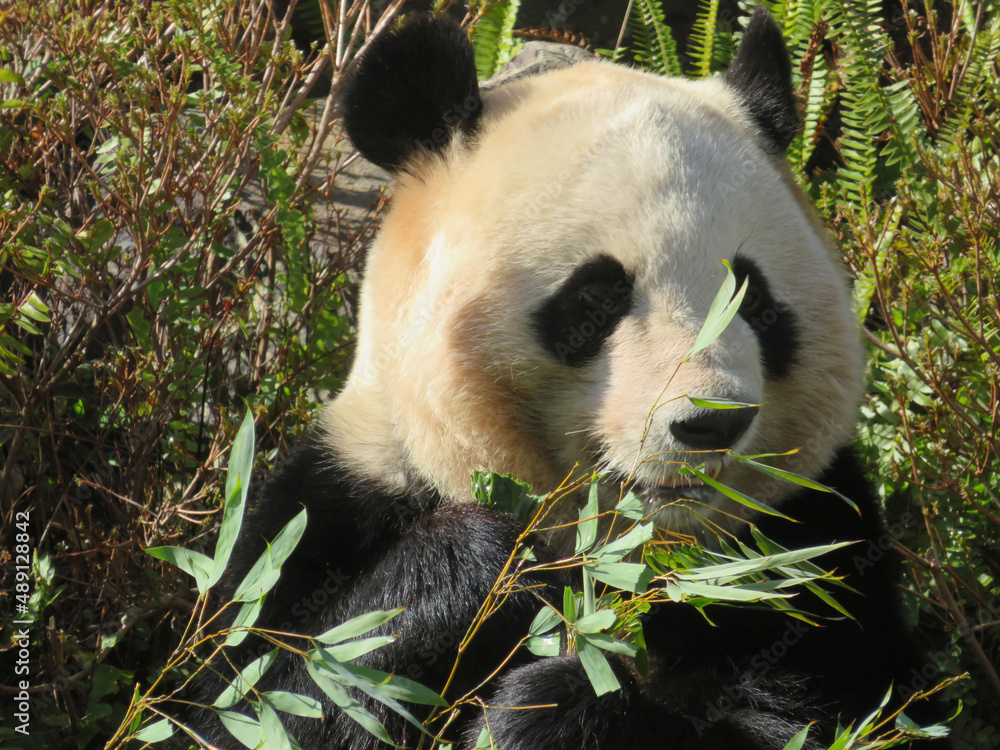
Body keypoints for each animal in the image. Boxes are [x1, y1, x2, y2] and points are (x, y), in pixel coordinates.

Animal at [205, 9, 949, 750]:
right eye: (597, 296)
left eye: (753, 296)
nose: (710, 423)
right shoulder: (342, 495)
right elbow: (275, 687)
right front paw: (485, 569)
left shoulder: (808, 548)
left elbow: (829, 713)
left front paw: (552, 710)